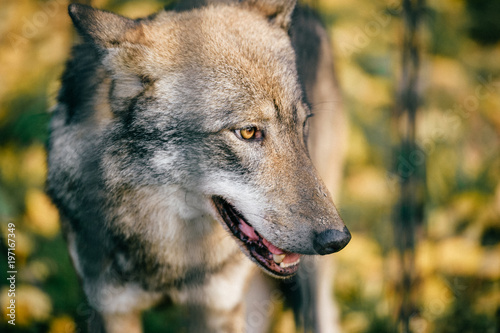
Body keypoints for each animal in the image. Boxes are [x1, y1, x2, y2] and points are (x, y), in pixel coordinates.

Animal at [47, 1, 352, 330]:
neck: (170, 258)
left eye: (302, 124)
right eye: (248, 131)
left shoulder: (218, 308)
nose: (337, 239)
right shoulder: (111, 310)